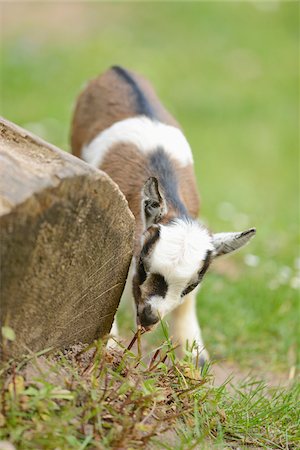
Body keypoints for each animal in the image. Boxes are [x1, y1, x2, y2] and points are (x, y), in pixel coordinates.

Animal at [70, 66, 255, 366]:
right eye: (143, 267)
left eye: (191, 285)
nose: (149, 317)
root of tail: (116, 69)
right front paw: (110, 348)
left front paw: (194, 357)